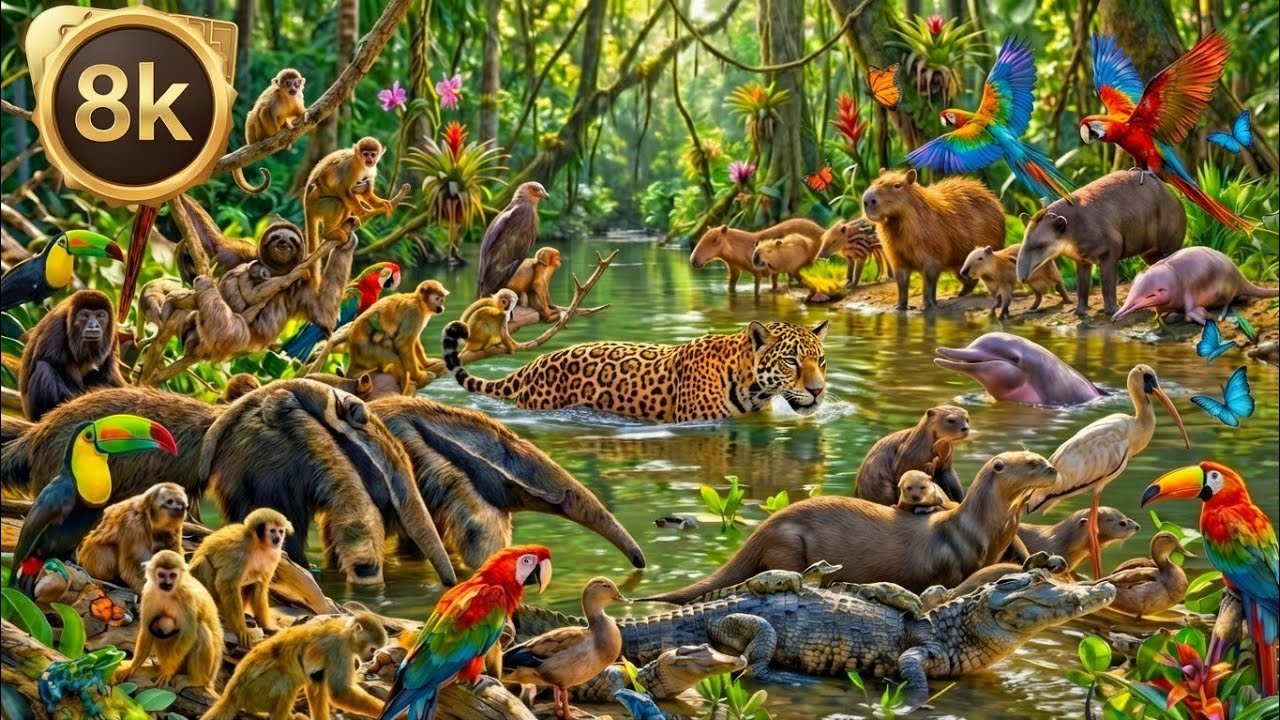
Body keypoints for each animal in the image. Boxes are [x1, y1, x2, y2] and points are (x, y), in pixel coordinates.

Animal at [18, 290, 125, 422]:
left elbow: (110, 377)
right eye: (85, 315)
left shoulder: (113, 334)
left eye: (100, 316)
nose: (93, 325)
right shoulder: (57, 324)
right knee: (44, 367)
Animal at [113, 550, 223, 691]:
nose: (167, 583)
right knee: (157, 626)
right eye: (161, 575)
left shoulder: (186, 596)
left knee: (200, 630)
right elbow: (147, 629)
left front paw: (168, 671)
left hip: (208, 672)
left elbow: (188, 633)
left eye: (172, 575)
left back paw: (197, 680)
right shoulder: (149, 592)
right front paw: (133, 666)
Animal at [189, 507, 292, 647]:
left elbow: (261, 585)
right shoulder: (241, 549)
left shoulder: (274, 554)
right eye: (272, 531)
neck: (258, 544)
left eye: (281, 531)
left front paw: (267, 626)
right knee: (204, 562)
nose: (278, 538)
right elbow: (227, 583)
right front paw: (241, 629)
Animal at [204, 611, 388, 720]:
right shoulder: (338, 649)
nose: (371, 656)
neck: (346, 632)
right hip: (253, 692)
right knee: (288, 679)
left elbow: (316, 682)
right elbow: (339, 693)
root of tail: (231, 695)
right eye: (373, 649)